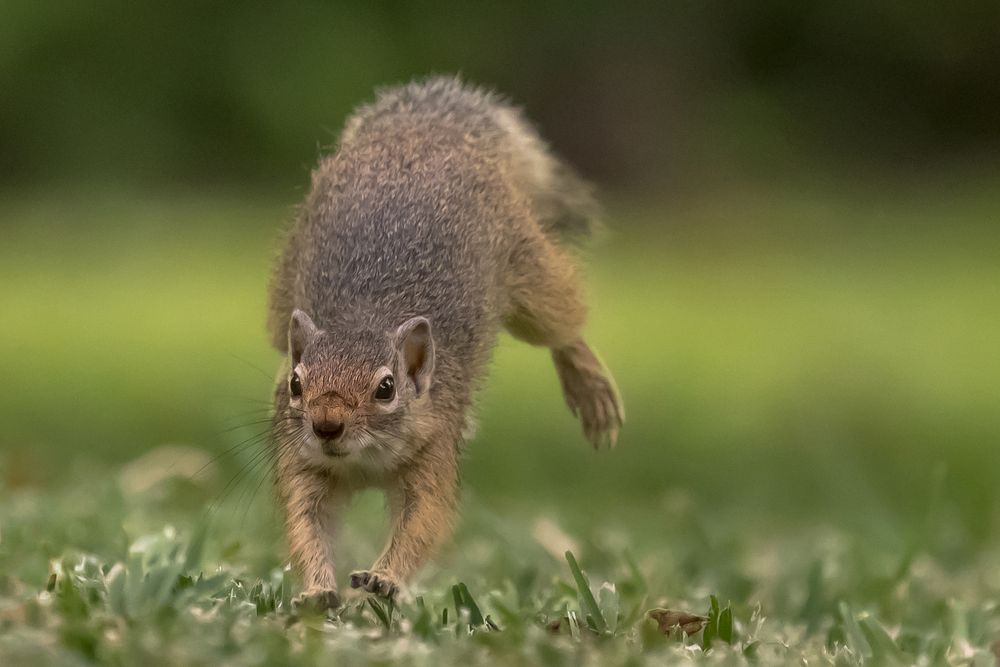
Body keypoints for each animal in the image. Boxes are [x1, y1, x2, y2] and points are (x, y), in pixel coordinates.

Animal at [266, 77, 624, 612]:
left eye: (387, 388)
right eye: (297, 383)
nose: (326, 425)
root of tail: (427, 132)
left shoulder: (434, 450)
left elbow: (423, 521)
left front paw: (385, 578)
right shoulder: (303, 463)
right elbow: (306, 521)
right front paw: (316, 589)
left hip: (528, 267)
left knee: (561, 323)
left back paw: (590, 386)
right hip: (283, 286)